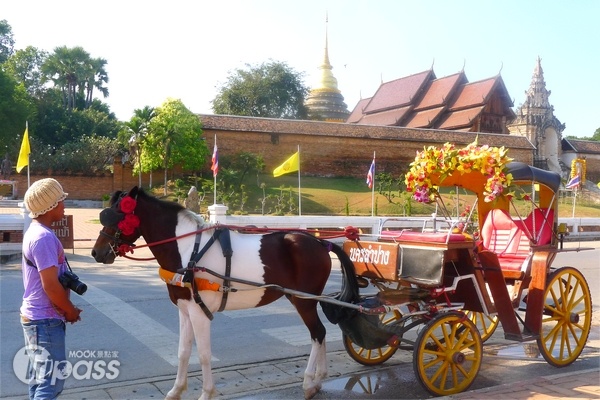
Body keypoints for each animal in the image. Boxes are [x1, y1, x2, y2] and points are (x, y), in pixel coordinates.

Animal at [91, 188, 358, 400]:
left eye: (117, 215)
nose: (96, 252)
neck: (189, 251)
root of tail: (321, 242)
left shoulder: (199, 312)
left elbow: (204, 355)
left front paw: (206, 393)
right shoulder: (185, 310)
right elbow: (183, 352)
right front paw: (176, 390)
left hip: (303, 300)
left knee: (317, 333)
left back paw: (310, 381)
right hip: (303, 299)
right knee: (320, 333)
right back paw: (320, 377)